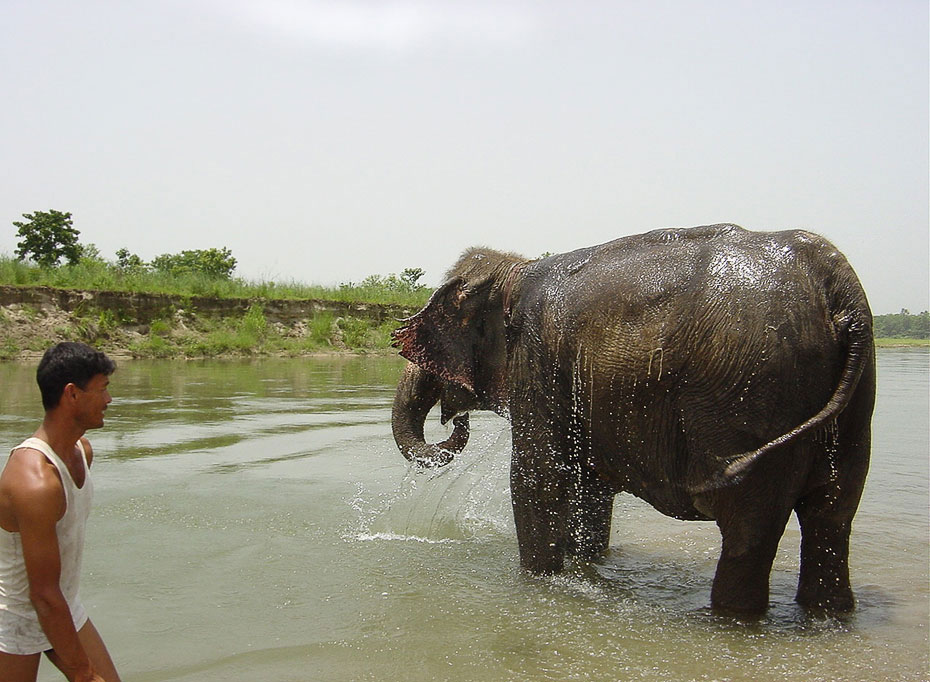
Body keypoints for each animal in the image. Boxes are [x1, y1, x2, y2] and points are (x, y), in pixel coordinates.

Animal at [390, 223, 872, 616]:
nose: (455, 424)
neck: (516, 270)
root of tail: (838, 283)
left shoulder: (538, 357)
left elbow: (538, 478)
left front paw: (539, 583)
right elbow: (588, 488)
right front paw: (587, 565)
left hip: (750, 394)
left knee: (748, 529)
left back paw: (730, 618)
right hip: (847, 404)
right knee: (832, 516)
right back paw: (829, 613)